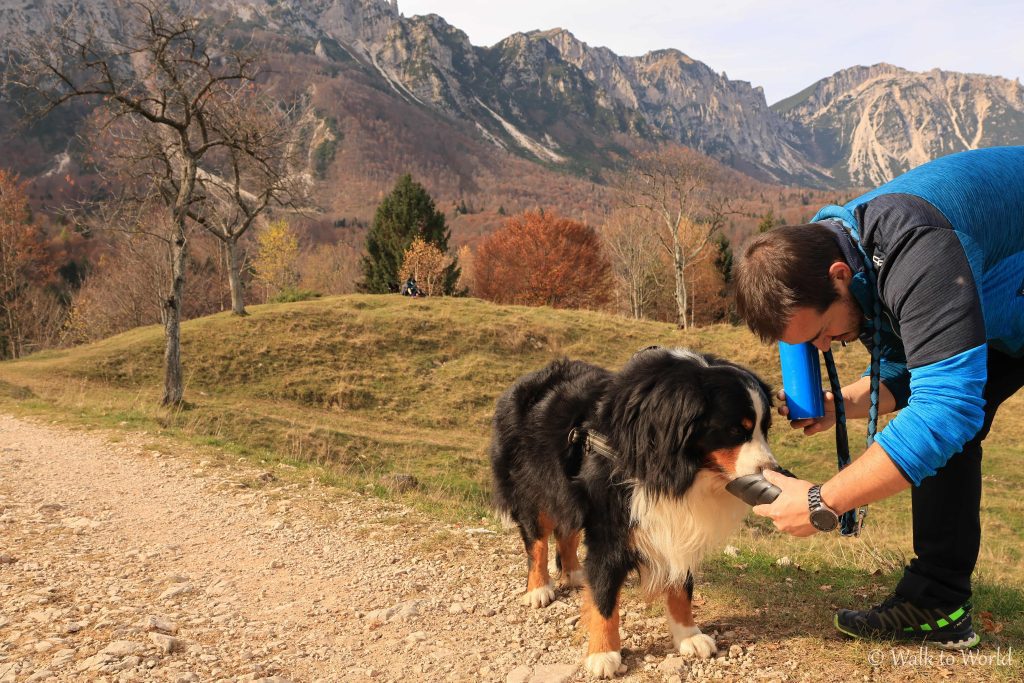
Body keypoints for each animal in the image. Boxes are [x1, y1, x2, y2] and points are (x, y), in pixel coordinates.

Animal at [491, 348, 778, 679]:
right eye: (736, 430)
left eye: (765, 429)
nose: (773, 471)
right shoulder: (611, 528)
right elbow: (605, 596)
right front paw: (603, 653)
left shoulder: (676, 524)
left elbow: (681, 586)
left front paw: (688, 635)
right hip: (533, 486)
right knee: (537, 540)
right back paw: (539, 588)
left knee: (567, 531)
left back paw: (576, 573)